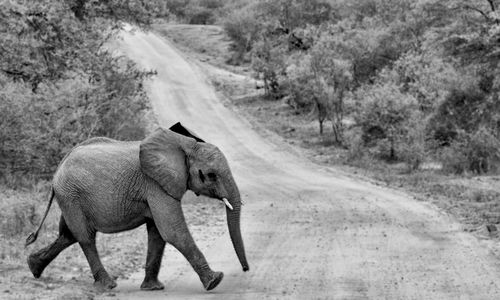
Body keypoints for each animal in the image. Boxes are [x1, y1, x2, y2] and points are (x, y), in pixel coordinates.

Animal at [24, 122, 249, 290]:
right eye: (210, 175)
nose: (246, 270)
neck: (185, 143)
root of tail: (59, 167)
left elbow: (158, 234)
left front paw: (153, 288)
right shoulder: (154, 183)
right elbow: (172, 231)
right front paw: (215, 281)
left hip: (70, 196)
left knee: (68, 234)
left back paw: (33, 267)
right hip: (70, 194)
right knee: (85, 237)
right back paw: (108, 285)